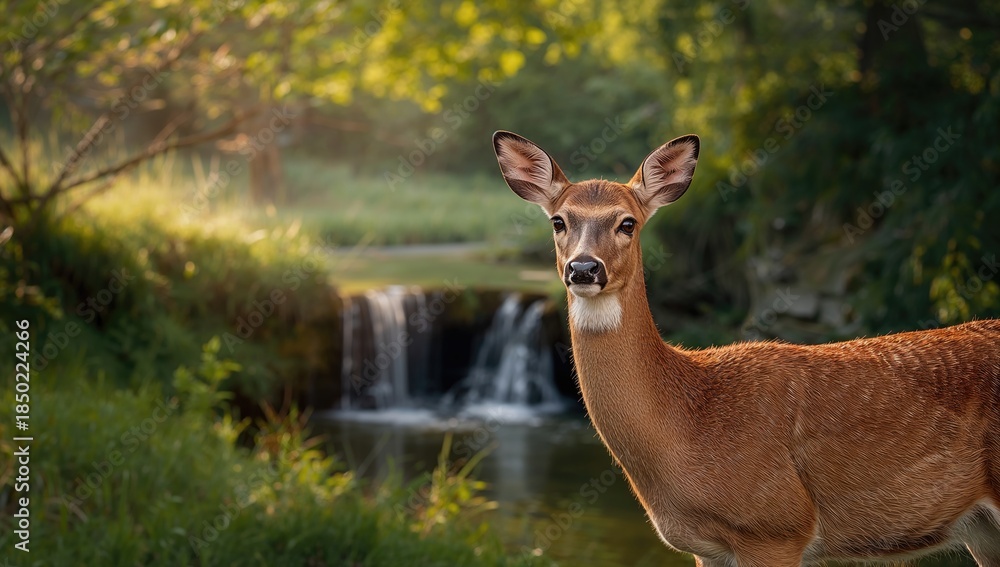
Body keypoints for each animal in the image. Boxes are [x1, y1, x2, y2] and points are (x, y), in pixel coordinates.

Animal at [492, 129, 1000, 566]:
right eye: (559, 221)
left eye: (627, 223)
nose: (583, 268)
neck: (687, 422)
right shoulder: (709, 549)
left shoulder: (776, 527)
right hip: (981, 530)